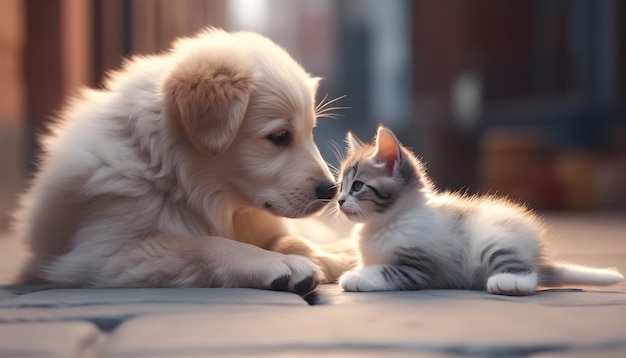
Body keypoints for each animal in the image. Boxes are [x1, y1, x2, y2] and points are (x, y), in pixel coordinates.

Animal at [12, 28, 346, 296]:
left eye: (310, 131)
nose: (331, 190)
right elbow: (204, 245)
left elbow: (289, 238)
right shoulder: (104, 253)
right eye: (279, 137)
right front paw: (278, 263)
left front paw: (332, 257)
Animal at [334, 124, 620, 296]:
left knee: (531, 275)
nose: (339, 201)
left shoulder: (421, 265)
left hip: (492, 240)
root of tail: (537, 255)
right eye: (340, 187)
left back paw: (509, 282)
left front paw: (355, 277)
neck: (388, 222)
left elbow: (386, 270)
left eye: (357, 186)